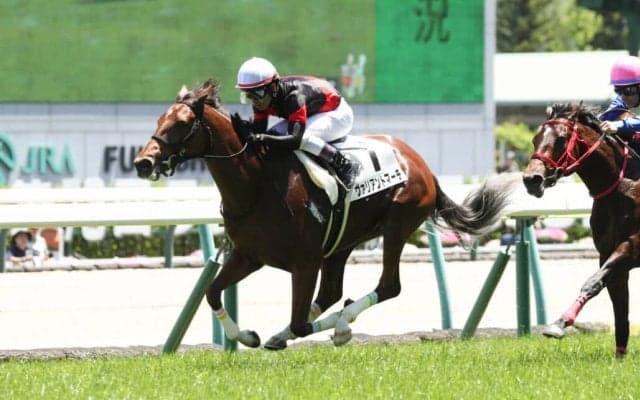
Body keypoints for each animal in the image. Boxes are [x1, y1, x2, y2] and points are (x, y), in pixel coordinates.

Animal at [134, 80, 517, 350]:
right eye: (159, 119)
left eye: (183, 123)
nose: (143, 162)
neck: (256, 185)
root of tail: (422, 165)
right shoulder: (249, 255)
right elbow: (212, 292)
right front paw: (247, 337)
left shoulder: (304, 262)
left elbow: (301, 322)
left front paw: (324, 330)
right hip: (343, 242)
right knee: (332, 292)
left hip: (397, 226)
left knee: (387, 286)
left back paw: (342, 323)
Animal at [523, 102, 640, 357]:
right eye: (535, 139)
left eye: (561, 139)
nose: (531, 180)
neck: (623, 186)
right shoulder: (607, 254)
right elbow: (618, 304)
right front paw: (620, 355)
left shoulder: (633, 246)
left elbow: (593, 282)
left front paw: (559, 323)